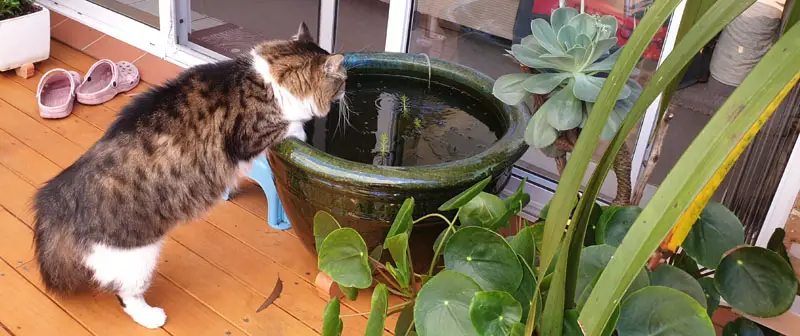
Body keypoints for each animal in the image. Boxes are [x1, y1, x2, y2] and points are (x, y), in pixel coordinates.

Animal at [32, 23, 346, 328]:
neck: (266, 77)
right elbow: (292, 124)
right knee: (126, 295)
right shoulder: (250, 137)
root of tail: (58, 198)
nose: (347, 90)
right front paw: (302, 130)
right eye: (342, 80)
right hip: (136, 256)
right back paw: (151, 317)